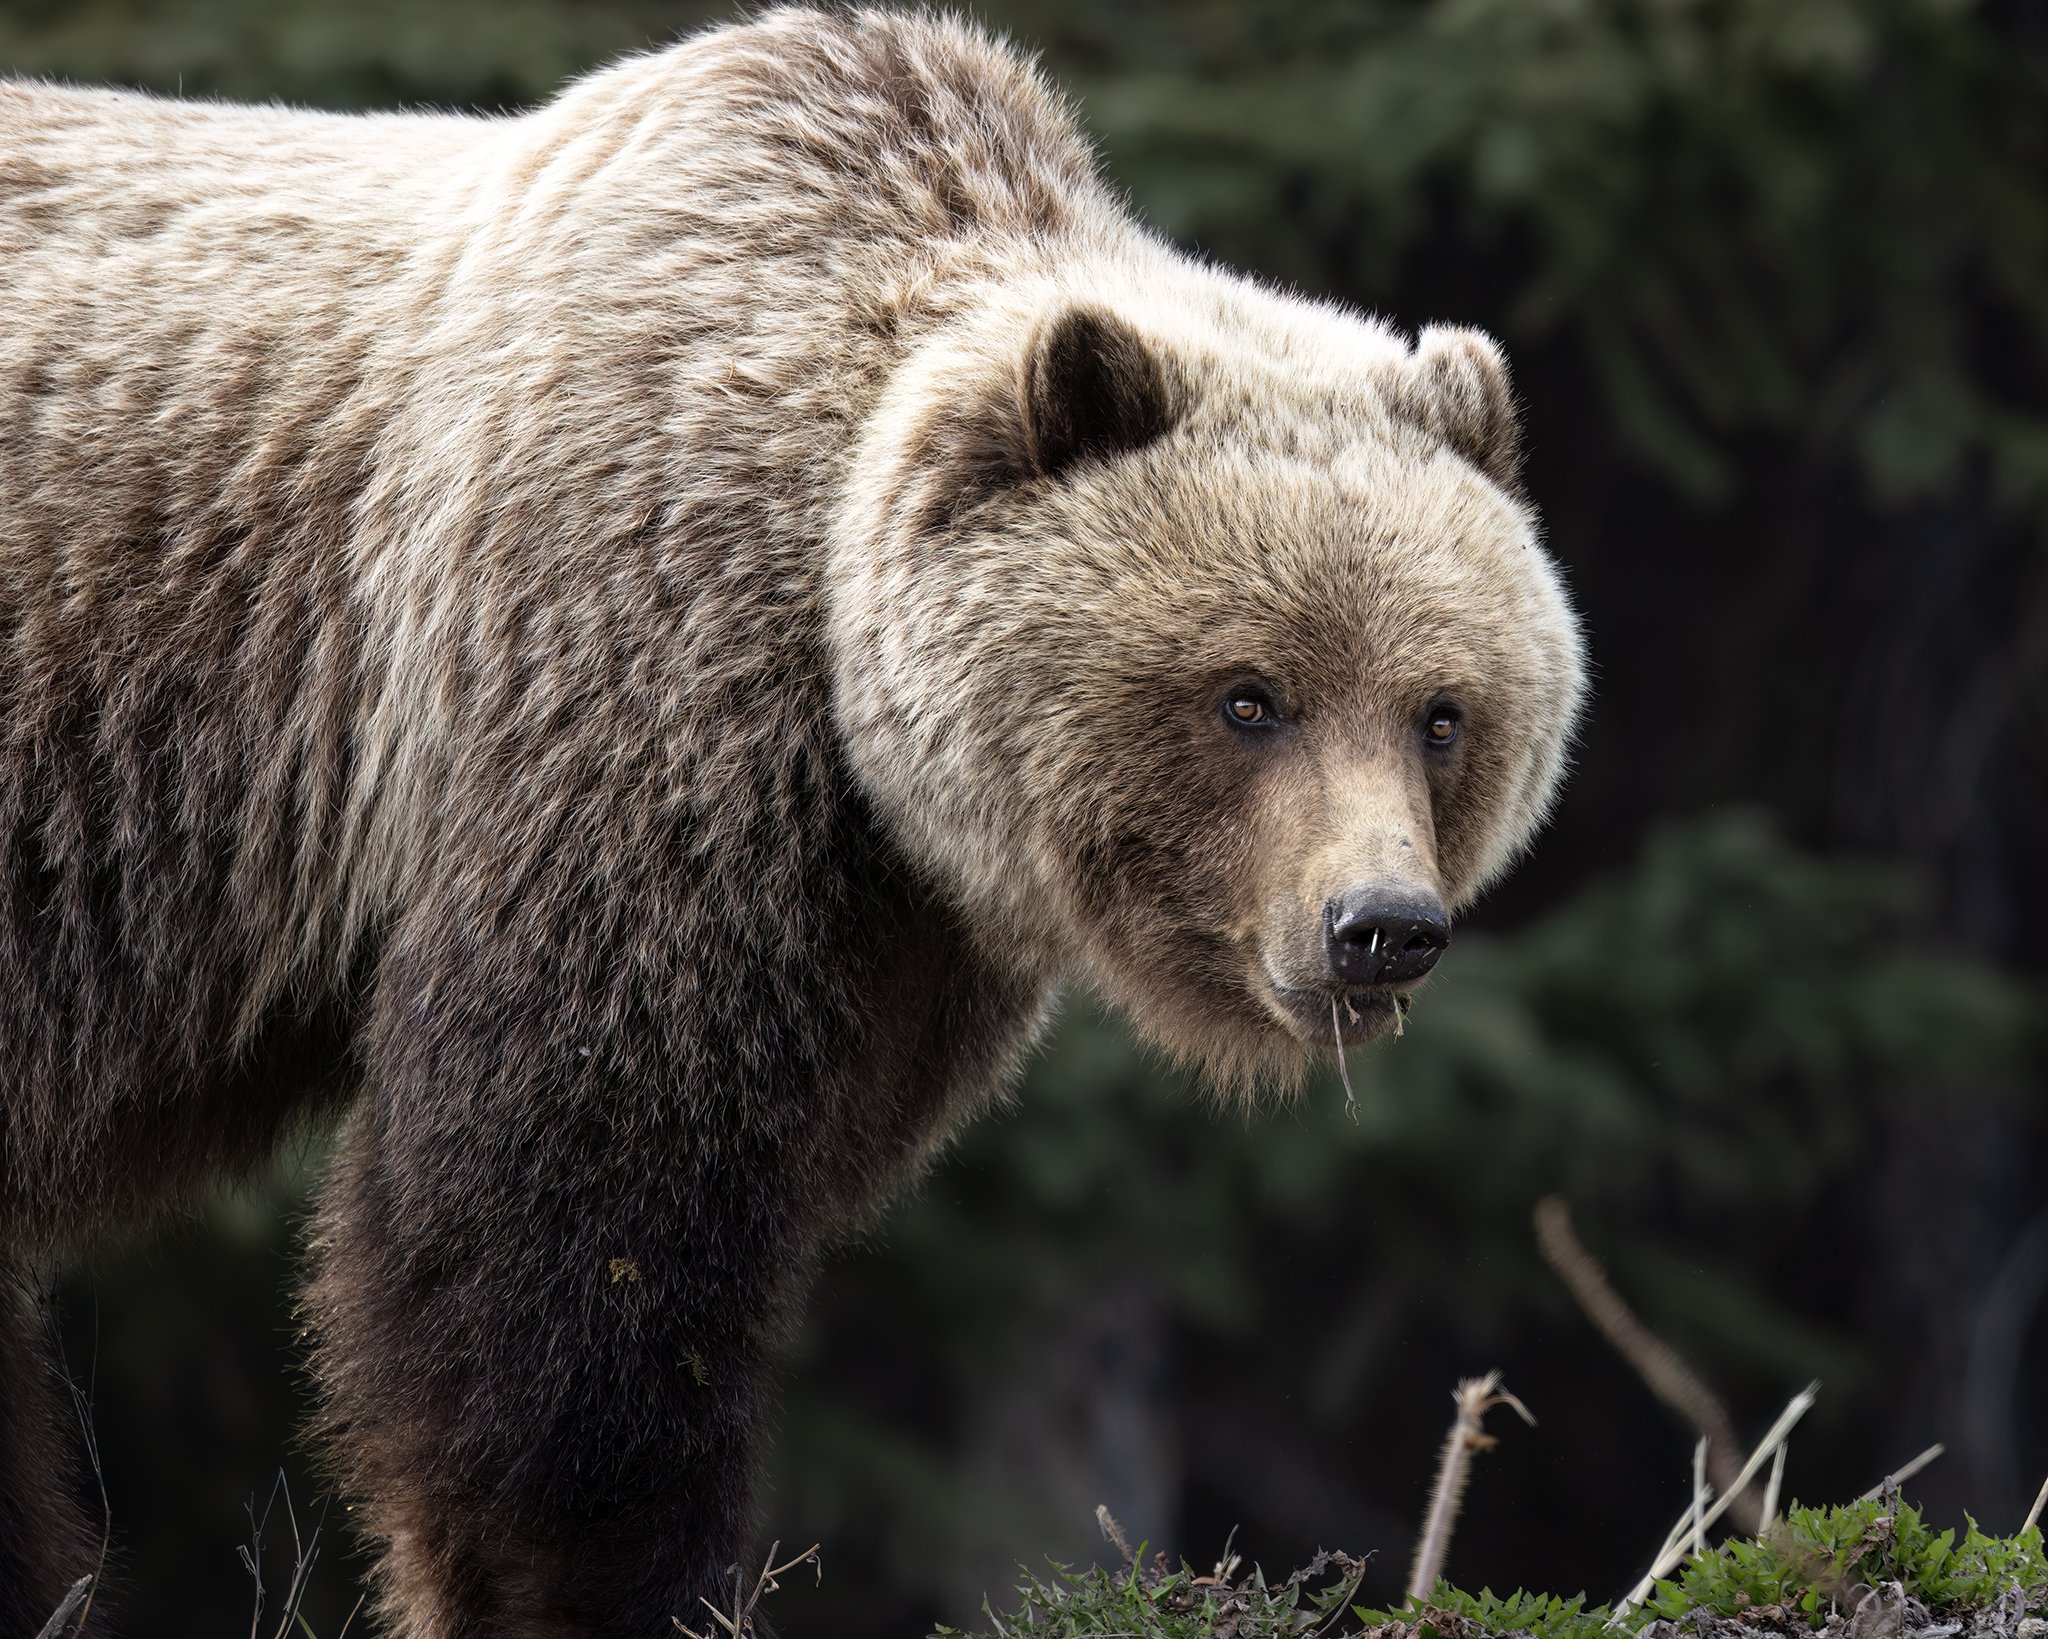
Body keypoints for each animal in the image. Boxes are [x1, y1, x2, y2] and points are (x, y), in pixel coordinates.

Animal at [0, 7, 1587, 1636]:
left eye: (1441, 709)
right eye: (1249, 695)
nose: (1380, 925)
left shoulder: (887, 932)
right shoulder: (615, 714)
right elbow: (572, 1239)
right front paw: (607, 1581)